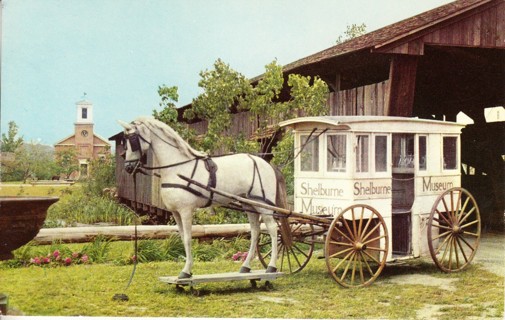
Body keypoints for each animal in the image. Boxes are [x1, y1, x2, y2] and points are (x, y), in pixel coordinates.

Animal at [118, 116, 284, 278]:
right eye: (124, 141)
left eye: (132, 139)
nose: (128, 167)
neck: (178, 168)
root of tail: (265, 163)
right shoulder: (176, 212)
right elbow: (183, 237)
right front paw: (188, 270)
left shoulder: (186, 211)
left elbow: (187, 238)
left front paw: (186, 271)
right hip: (249, 204)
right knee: (255, 231)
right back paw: (245, 266)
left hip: (263, 205)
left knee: (272, 229)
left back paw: (271, 266)